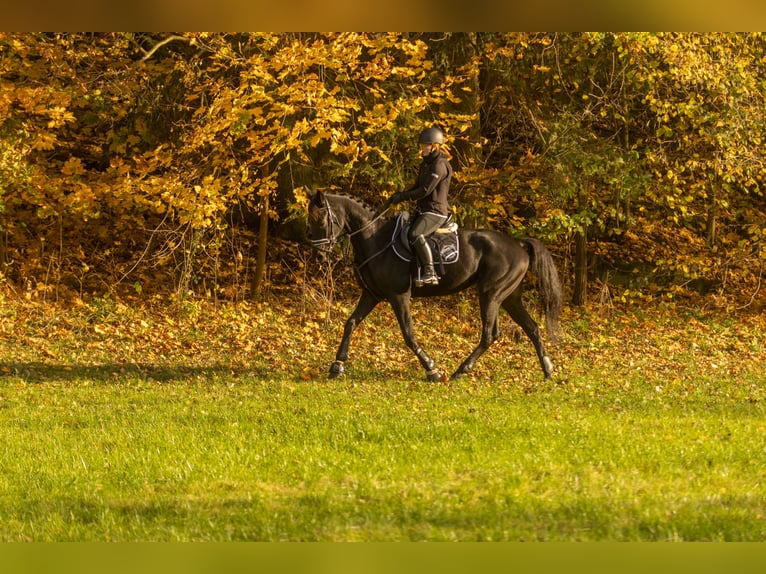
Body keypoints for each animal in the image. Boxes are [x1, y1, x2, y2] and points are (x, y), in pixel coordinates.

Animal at [306, 189, 564, 384]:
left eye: (321, 219)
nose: (319, 256)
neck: (374, 238)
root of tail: (518, 244)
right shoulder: (372, 295)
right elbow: (350, 323)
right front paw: (337, 365)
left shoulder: (398, 296)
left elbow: (408, 334)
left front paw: (431, 369)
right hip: (509, 297)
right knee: (532, 328)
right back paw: (548, 370)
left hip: (491, 294)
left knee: (490, 334)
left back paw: (461, 370)